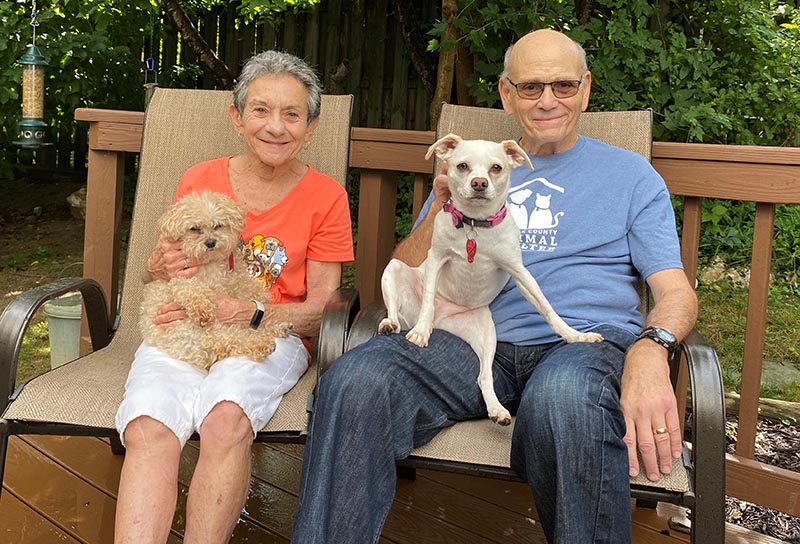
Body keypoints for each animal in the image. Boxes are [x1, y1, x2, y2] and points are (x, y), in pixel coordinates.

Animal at [139, 191, 292, 370]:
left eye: (218, 225)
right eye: (194, 229)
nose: (210, 242)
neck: (211, 263)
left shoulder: (232, 278)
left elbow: (245, 285)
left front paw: (262, 296)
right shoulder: (180, 279)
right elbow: (192, 290)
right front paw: (203, 309)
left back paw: (280, 329)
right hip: (202, 334)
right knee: (234, 339)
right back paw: (263, 343)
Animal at [380, 135, 600, 424]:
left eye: (496, 168)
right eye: (462, 166)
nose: (479, 183)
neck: (476, 225)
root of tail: (442, 322)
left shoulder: (519, 272)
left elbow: (546, 307)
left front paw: (574, 335)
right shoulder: (436, 258)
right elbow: (428, 298)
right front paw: (420, 332)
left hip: (487, 335)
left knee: (484, 377)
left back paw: (497, 410)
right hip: (394, 270)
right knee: (395, 310)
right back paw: (394, 324)